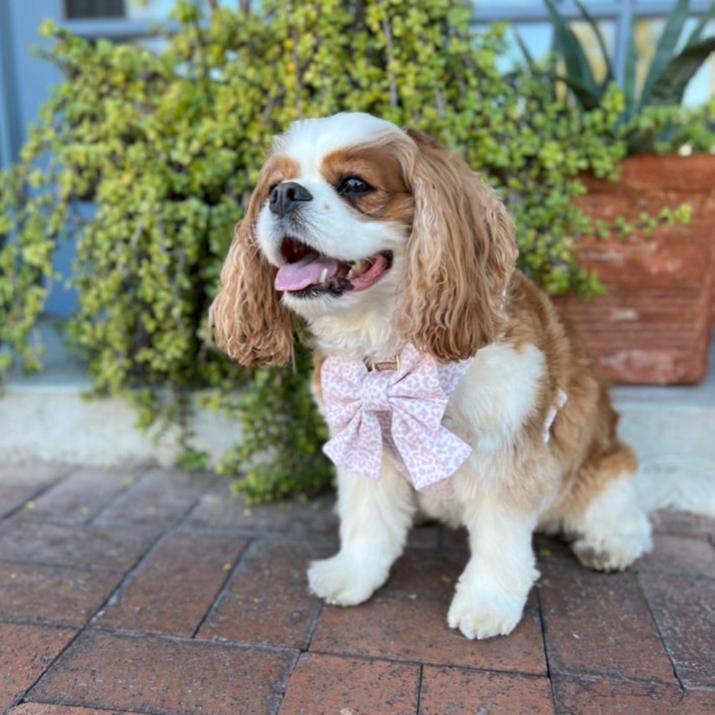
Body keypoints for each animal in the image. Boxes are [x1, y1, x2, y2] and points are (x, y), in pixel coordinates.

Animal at [210, 114, 668, 640]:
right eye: (271, 187)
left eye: (354, 185)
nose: (285, 194)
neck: (390, 354)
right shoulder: (362, 445)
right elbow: (367, 520)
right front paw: (354, 573)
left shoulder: (505, 455)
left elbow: (499, 540)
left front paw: (487, 602)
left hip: (603, 465)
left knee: (621, 510)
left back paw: (610, 544)